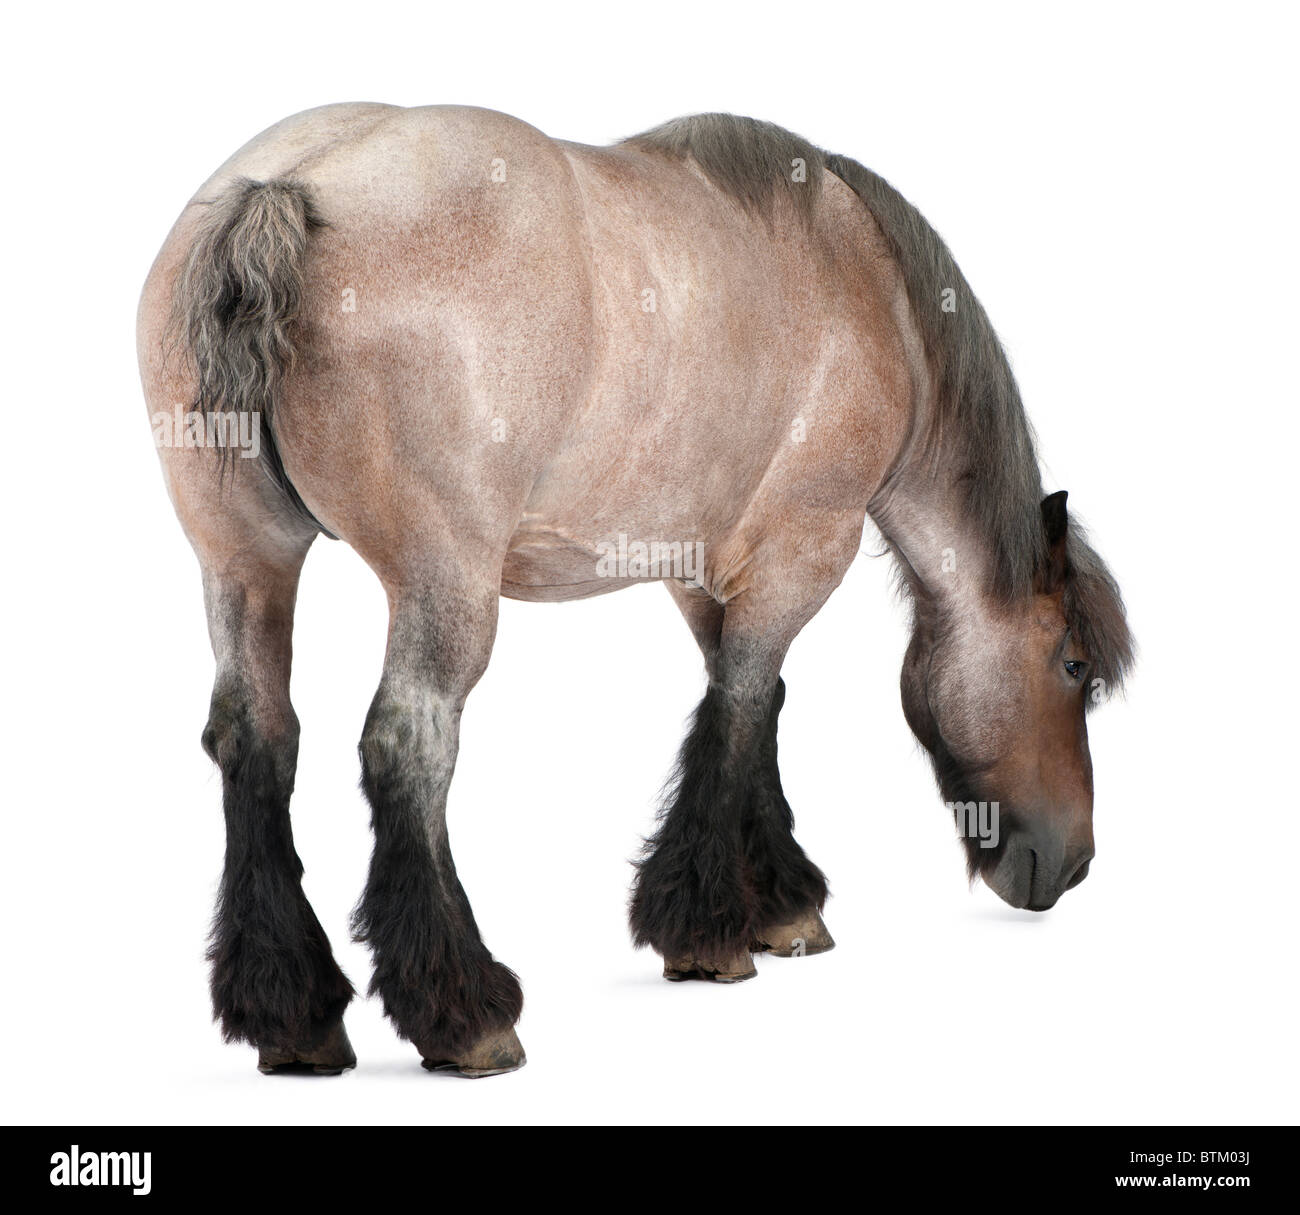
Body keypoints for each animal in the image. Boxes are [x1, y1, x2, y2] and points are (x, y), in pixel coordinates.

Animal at [137, 102, 1133, 1075]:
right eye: (1074, 664)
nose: (1075, 863)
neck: (864, 278)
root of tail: (284, 189)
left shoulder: (707, 575)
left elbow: (747, 707)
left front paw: (776, 903)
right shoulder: (801, 555)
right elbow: (740, 710)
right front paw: (708, 932)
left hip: (245, 562)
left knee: (256, 740)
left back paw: (293, 1012)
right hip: (443, 582)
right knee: (407, 747)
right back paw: (464, 1010)